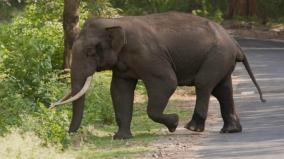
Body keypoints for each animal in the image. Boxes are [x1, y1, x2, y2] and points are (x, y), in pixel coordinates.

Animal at [50, 11, 264, 139]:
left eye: (90, 52)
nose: (70, 134)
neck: (115, 22)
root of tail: (235, 43)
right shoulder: (123, 65)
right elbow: (119, 91)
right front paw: (121, 138)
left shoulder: (147, 55)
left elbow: (167, 82)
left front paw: (174, 123)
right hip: (221, 60)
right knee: (222, 89)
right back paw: (230, 130)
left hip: (217, 56)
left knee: (204, 85)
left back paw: (192, 128)